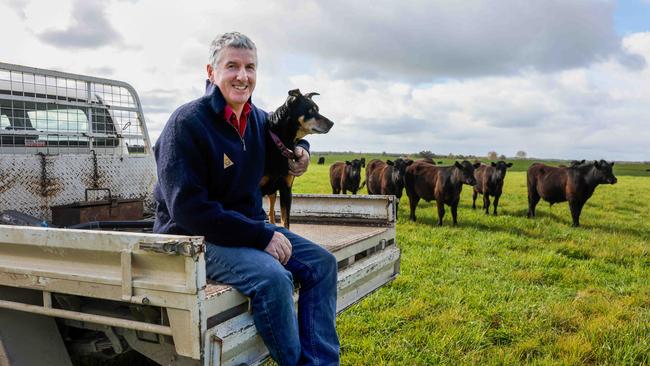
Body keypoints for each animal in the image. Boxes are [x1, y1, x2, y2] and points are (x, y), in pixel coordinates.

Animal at [258, 88, 332, 229]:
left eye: (318, 109)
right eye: (311, 111)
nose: (332, 123)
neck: (281, 144)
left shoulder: (286, 189)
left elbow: (285, 221)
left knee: (271, 211)